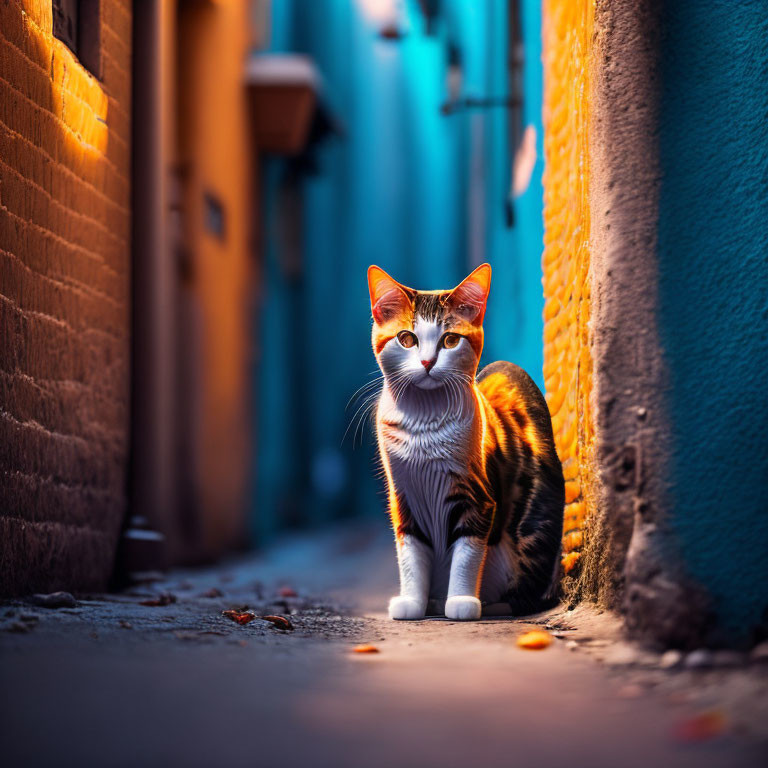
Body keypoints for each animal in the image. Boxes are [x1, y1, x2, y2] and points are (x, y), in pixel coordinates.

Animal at [366, 262, 564, 616]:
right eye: (406, 338)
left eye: (450, 340)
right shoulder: (403, 496)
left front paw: (461, 601)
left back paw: (493, 603)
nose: (427, 362)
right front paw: (412, 602)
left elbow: (467, 553)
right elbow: (410, 552)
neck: (424, 423)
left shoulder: (477, 496)